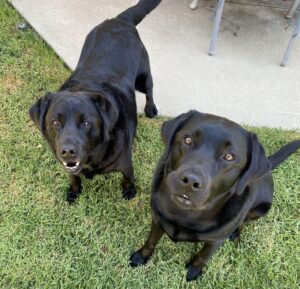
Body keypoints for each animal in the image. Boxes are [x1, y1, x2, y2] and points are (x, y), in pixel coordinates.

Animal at [28, 0, 162, 202]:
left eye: (86, 123)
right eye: (55, 122)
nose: (67, 151)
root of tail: (119, 20)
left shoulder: (125, 163)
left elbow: (128, 177)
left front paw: (130, 191)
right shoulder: (70, 167)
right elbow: (74, 176)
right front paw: (74, 191)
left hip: (143, 77)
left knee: (149, 90)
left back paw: (151, 108)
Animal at [129, 109, 300, 280]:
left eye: (229, 156)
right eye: (188, 140)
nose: (190, 181)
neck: (184, 214)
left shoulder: (215, 240)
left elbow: (203, 256)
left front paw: (194, 271)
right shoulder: (157, 219)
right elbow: (151, 241)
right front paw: (141, 256)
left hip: (260, 210)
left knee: (242, 221)